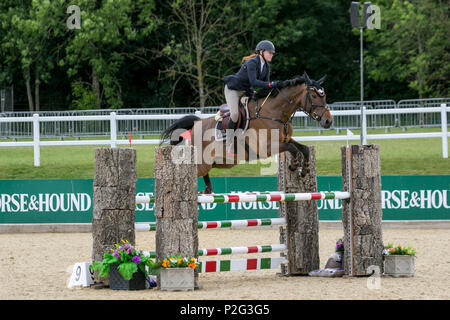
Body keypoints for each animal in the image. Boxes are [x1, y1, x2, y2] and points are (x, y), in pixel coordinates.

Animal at [160, 71, 332, 194]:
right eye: (314, 95)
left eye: (324, 96)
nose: (328, 121)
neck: (275, 113)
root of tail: (196, 123)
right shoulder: (265, 147)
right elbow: (293, 149)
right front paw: (293, 166)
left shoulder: (285, 139)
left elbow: (303, 148)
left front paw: (304, 171)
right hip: (203, 162)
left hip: (218, 162)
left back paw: (207, 189)